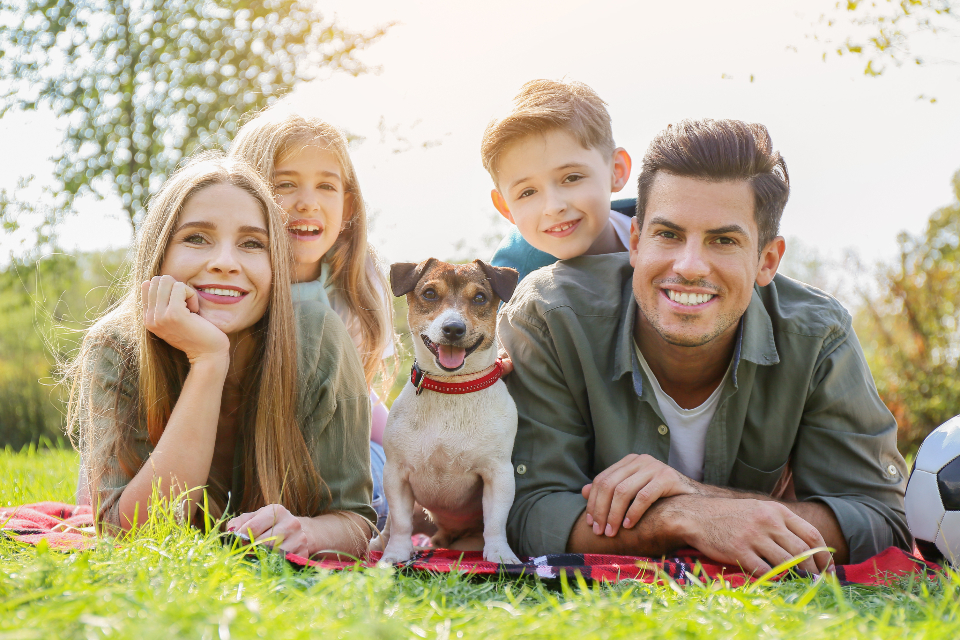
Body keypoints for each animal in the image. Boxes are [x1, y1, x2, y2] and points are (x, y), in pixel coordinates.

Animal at [370, 258, 520, 564]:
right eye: (429, 294)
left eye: (480, 297)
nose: (453, 328)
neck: (451, 388)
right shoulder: (396, 474)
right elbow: (400, 521)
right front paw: (396, 554)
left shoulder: (498, 475)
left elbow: (496, 521)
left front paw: (500, 554)